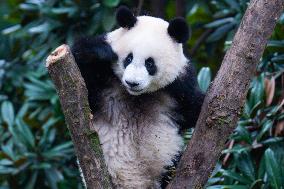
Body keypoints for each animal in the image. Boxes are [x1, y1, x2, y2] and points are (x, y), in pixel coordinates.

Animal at [71, 5, 204, 189]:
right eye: (128, 58)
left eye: (150, 63)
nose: (132, 82)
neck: (137, 96)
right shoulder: (103, 80)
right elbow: (83, 95)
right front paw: (100, 52)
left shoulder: (179, 86)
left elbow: (194, 110)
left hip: (166, 162)